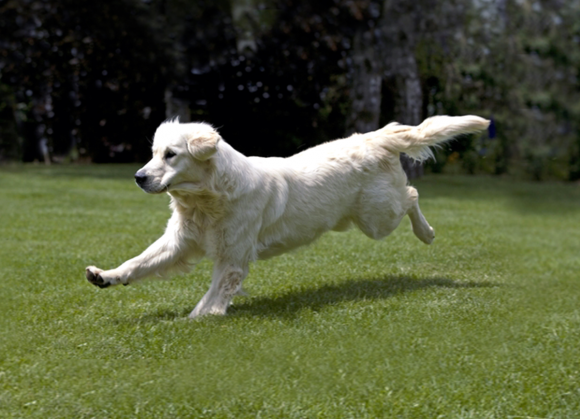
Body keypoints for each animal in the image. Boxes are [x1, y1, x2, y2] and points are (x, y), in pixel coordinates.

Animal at [86, 115, 490, 318]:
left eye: (170, 154)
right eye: (154, 153)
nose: (138, 177)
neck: (207, 199)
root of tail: (373, 137)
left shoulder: (233, 256)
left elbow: (214, 293)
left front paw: (199, 319)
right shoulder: (180, 242)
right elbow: (139, 261)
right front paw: (106, 276)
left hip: (377, 218)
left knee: (412, 195)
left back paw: (427, 233)